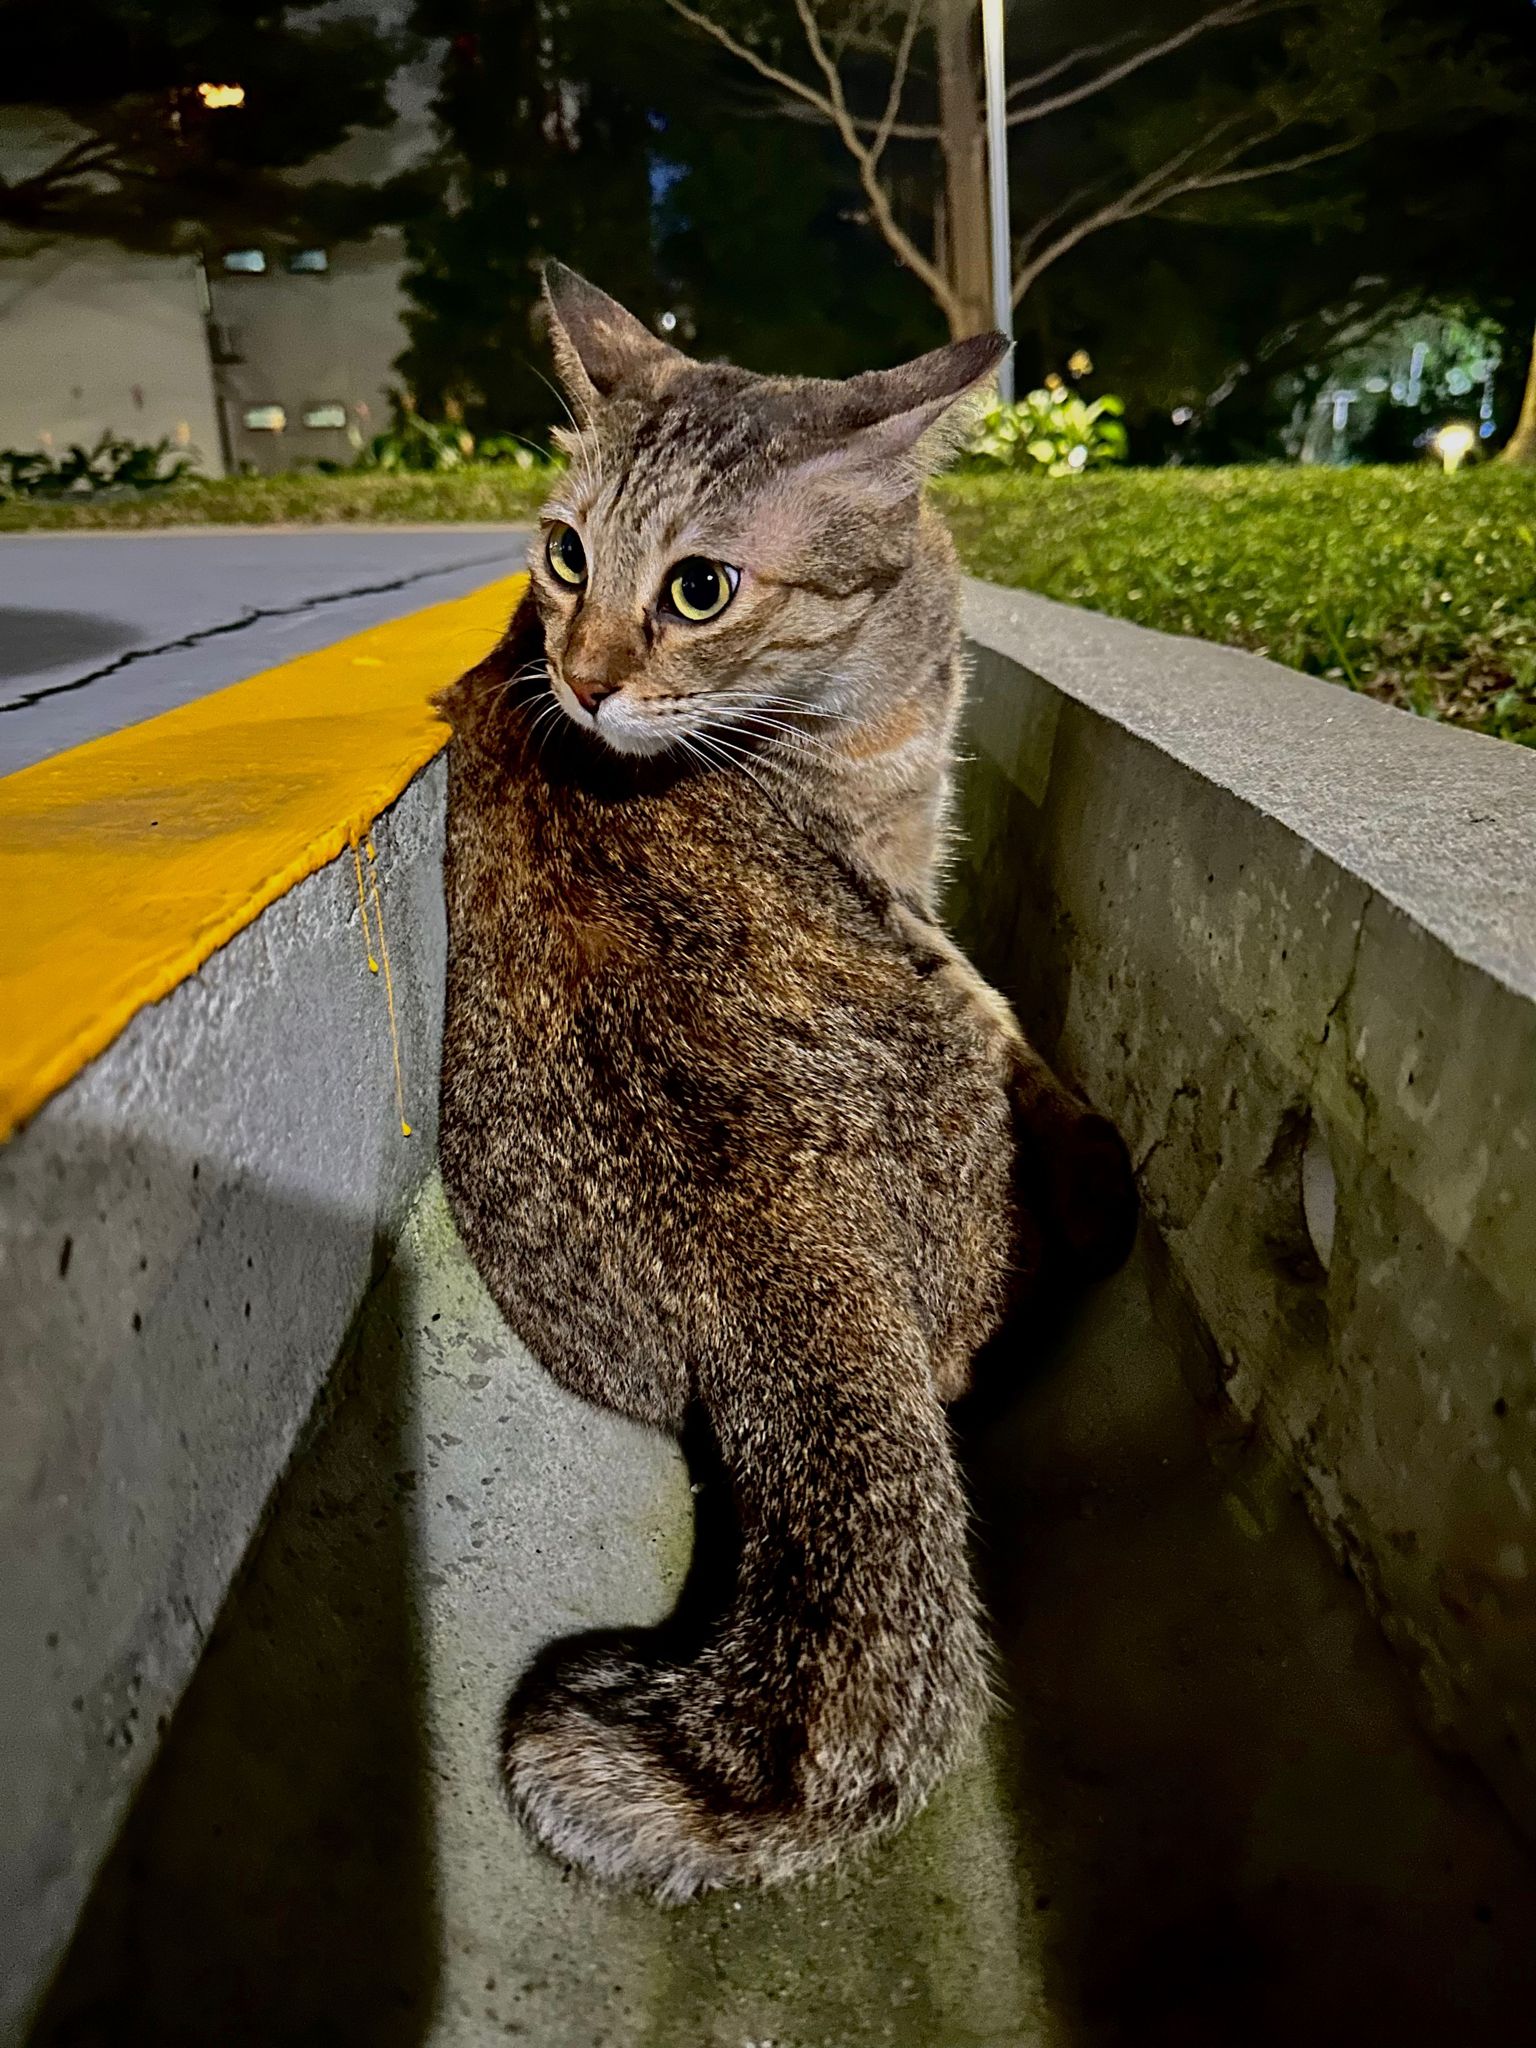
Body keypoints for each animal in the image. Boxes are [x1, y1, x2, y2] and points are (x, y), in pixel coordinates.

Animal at [438, 268, 1138, 1900]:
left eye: (699, 589)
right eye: (568, 554)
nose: (583, 680)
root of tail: (781, 1235)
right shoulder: (910, 901)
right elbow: (1000, 1001)